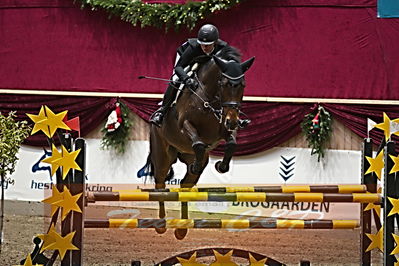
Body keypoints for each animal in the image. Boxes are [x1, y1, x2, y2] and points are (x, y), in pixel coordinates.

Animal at [142, 46, 255, 239]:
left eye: (243, 85)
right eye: (224, 83)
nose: (233, 120)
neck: (209, 97)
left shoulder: (224, 128)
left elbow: (231, 143)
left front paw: (221, 166)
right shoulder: (185, 125)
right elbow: (199, 143)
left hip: (188, 160)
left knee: (184, 187)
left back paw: (182, 229)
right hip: (162, 156)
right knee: (160, 184)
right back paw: (161, 224)